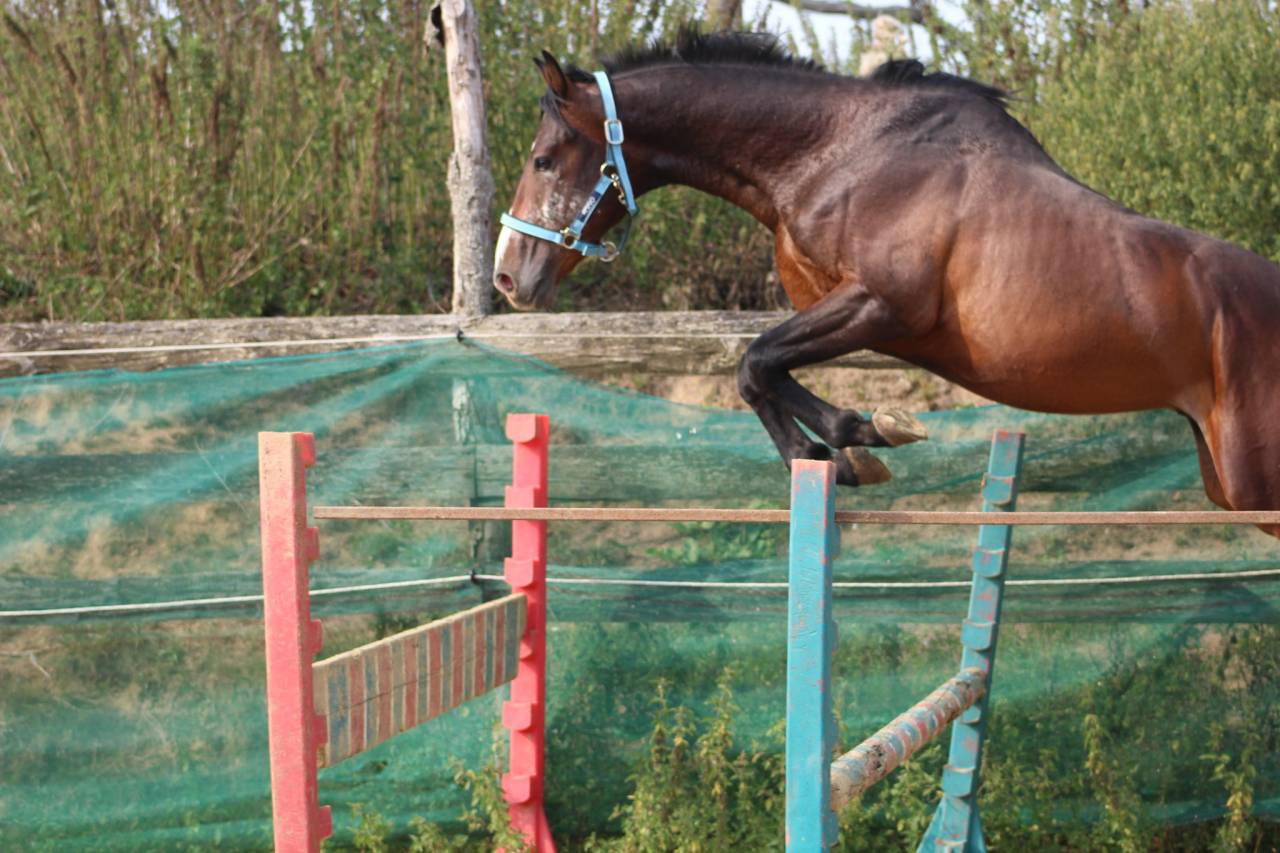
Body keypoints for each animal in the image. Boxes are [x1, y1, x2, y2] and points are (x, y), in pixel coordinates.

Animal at [492, 29, 1280, 537]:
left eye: (544, 160)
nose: (506, 276)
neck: (840, 153)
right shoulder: (854, 313)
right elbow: (766, 366)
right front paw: (851, 446)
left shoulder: (884, 304)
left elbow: (754, 361)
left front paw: (843, 447)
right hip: (1229, 481)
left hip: (1253, 482)